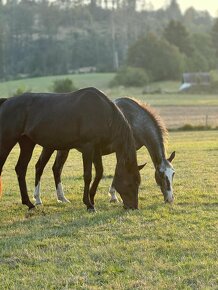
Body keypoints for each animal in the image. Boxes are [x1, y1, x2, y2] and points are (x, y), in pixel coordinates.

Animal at [0, 88, 143, 211]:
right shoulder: (88, 147)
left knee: (21, 169)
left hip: (27, 143)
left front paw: (92, 200)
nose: (133, 207)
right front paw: (88, 204)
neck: (102, 112)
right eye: (130, 183)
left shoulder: (97, 149)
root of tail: (6, 102)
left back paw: (29, 204)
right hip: (7, 142)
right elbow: (88, 175)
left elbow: (99, 172)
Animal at [33, 98, 175, 206]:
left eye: (173, 173)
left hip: (63, 149)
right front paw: (113, 196)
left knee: (57, 169)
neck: (134, 120)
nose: (170, 199)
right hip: (50, 147)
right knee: (40, 167)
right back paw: (38, 199)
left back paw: (62, 198)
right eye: (161, 175)